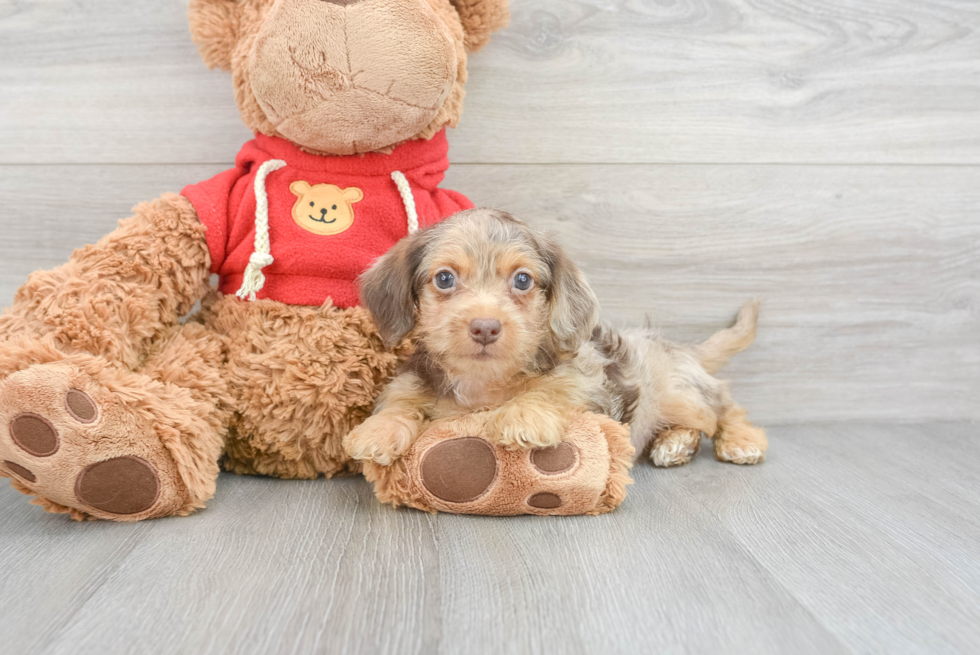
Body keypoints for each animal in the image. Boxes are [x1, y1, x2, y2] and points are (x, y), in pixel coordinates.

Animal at [344, 208, 764, 468]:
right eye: (445, 278)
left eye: (522, 280)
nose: (485, 327)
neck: (484, 382)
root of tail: (673, 347)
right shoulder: (410, 381)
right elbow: (401, 400)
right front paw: (379, 430)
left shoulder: (587, 378)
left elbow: (552, 387)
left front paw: (524, 414)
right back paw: (675, 445)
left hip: (681, 392)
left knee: (723, 405)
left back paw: (739, 439)